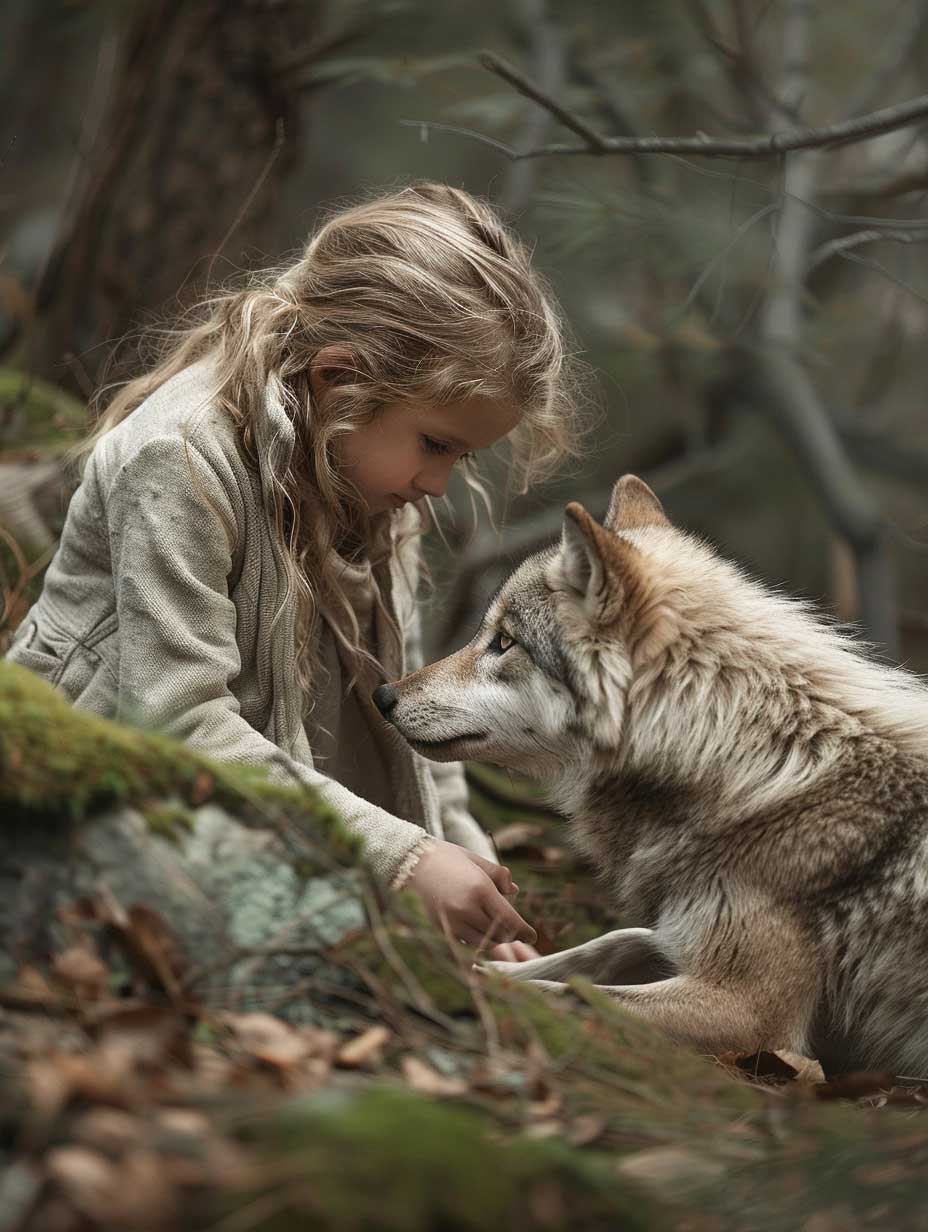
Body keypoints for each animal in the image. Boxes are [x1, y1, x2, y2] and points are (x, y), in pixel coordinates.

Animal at [373, 475, 928, 1077]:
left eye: (503, 642)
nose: (383, 695)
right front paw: (478, 963)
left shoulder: (748, 1013)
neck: (736, 760)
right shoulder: (676, 937)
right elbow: (606, 945)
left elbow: (576, 997)